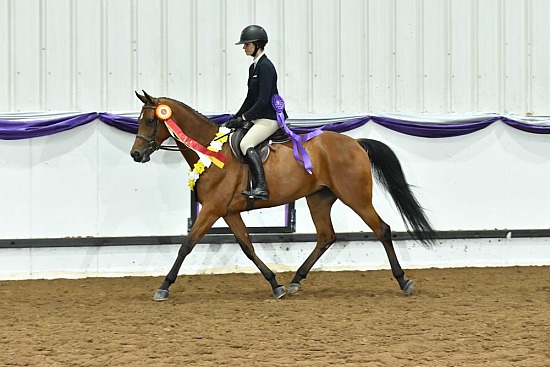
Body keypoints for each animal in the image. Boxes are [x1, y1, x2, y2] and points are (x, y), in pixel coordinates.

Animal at [132, 91, 438, 302]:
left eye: (151, 120)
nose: (136, 154)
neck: (212, 153)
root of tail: (355, 143)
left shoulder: (212, 209)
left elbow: (187, 245)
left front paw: (163, 287)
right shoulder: (228, 211)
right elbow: (248, 248)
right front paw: (275, 284)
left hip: (356, 197)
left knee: (381, 229)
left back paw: (403, 281)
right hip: (318, 199)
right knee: (326, 236)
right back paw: (295, 281)